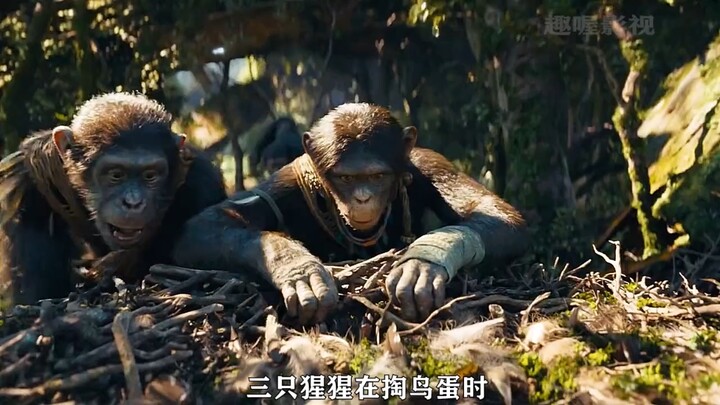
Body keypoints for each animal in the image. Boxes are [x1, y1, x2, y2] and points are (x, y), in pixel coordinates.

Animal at [172, 103, 528, 325]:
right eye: (346, 178)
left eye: (376, 176)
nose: (362, 197)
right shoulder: (284, 184)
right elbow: (206, 224)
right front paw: (297, 267)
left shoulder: (431, 164)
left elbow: (496, 213)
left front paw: (424, 260)